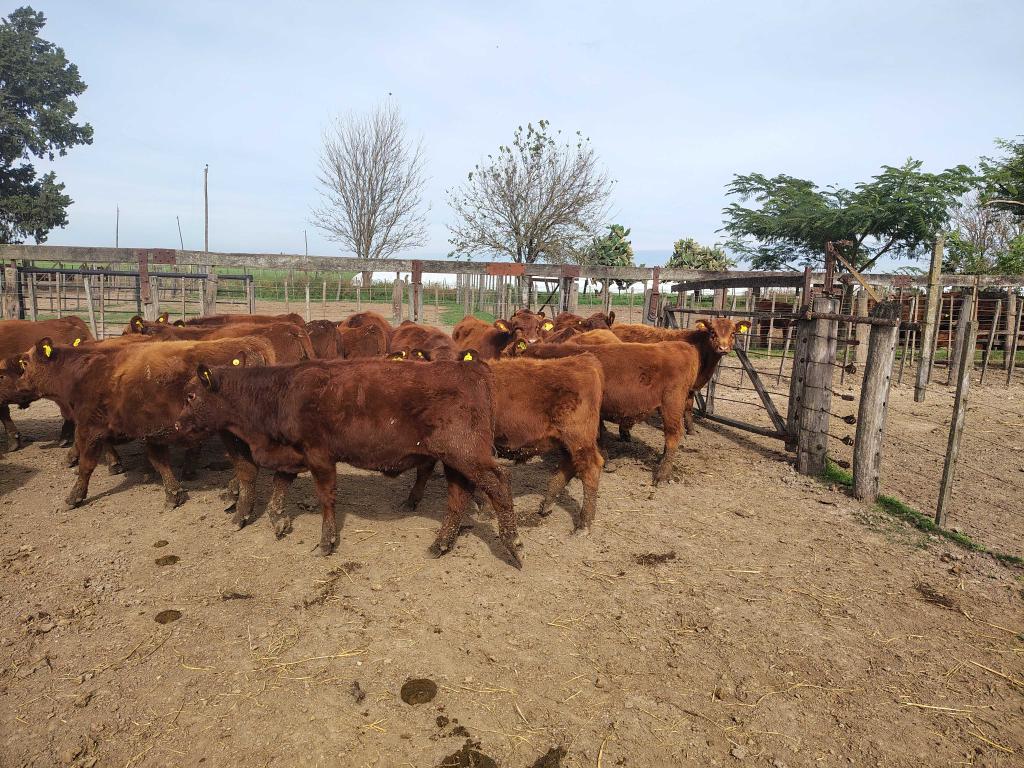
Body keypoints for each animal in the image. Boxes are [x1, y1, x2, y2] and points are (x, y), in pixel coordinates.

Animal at [16, 335, 276, 510]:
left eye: (25, 364)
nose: (18, 387)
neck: (84, 371)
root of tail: (252, 347)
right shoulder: (151, 432)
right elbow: (159, 461)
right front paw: (173, 493)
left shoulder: (89, 428)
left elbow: (85, 466)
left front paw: (74, 496)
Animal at [172, 358, 523, 566]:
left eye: (191, 397)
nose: (176, 425)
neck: (279, 393)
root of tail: (472, 370)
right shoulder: (291, 455)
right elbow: (277, 492)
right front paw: (280, 522)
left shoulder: (320, 457)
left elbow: (326, 498)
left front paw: (327, 541)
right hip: (454, 461)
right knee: (458, 498)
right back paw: (441, 544)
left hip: (467, 455)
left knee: (499, 484)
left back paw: (514, 545)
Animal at [402, 350, 605, 532]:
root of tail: (582, 359)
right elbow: (425, 470)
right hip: (565, 441)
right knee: (568, 466)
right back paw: (547, 505)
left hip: (579, 438)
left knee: (590, 469)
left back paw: (584, 524)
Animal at [611, 318, 749, 435]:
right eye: (713, 332)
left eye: (733, 333)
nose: (723, 348)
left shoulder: (692, 388)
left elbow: (688, 408)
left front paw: (691, 430)